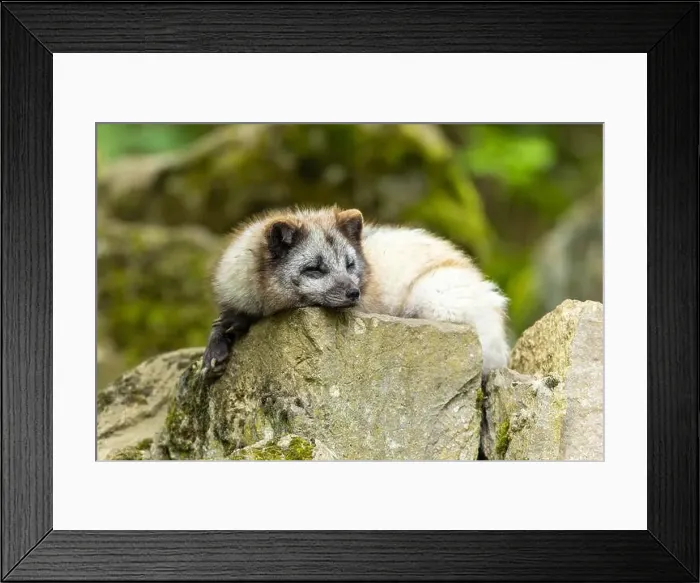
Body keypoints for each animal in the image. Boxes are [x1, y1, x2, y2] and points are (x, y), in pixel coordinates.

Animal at [202, 206, 510, 378]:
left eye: (350, 265)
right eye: (315, 269)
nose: (354, 293)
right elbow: (223, 322)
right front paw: (216, 349)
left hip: (433, 298)